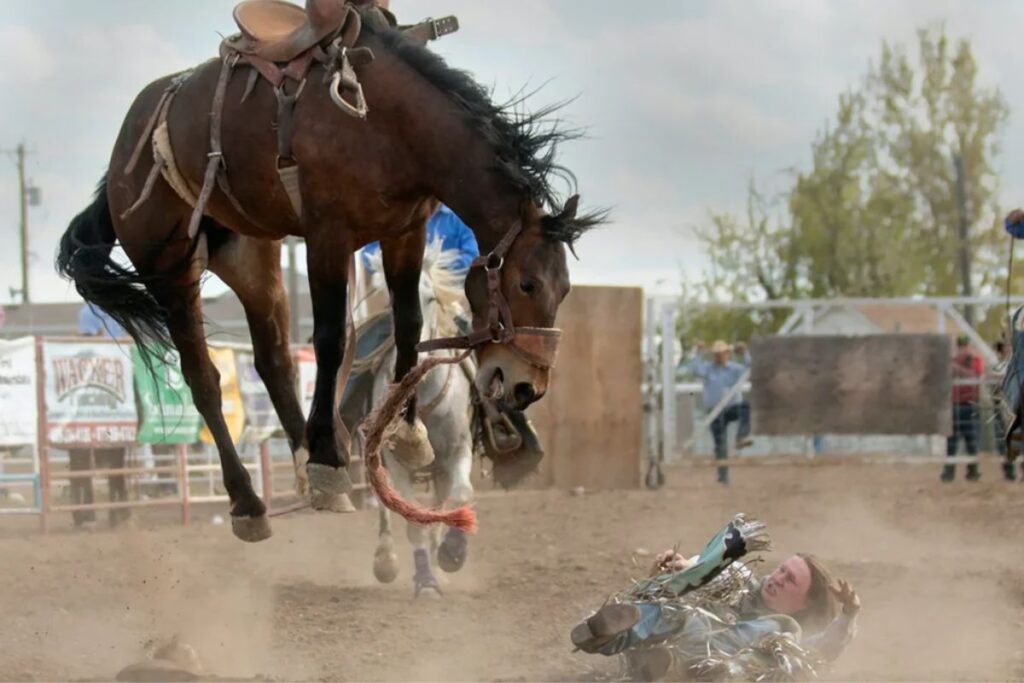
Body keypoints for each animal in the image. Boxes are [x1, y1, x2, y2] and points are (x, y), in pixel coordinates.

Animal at [360, 242, 475, 593]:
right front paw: (425, 582)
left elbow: (461, 495)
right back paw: (386, 560)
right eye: (391, 301)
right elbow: (412, 523)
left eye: (431, 298)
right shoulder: (394, 463)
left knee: (438, 504)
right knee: (385, 508)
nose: (415, 351)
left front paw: (453, 553)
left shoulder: (458, 449)